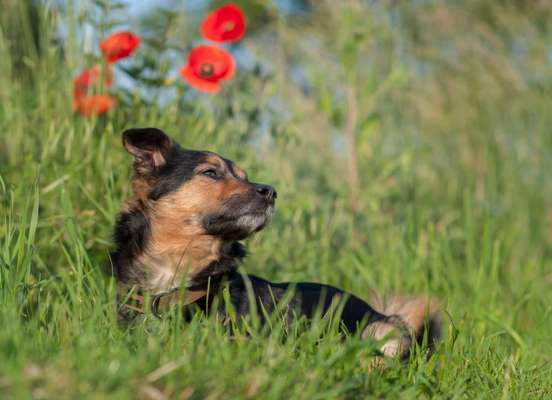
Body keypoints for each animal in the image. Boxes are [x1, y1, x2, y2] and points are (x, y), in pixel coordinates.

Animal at [111, 127, 440, 360]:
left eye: (245, 176)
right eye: (210, 172)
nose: (270, 191)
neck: (177, 280)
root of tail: (384, 312)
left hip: (380, 332)